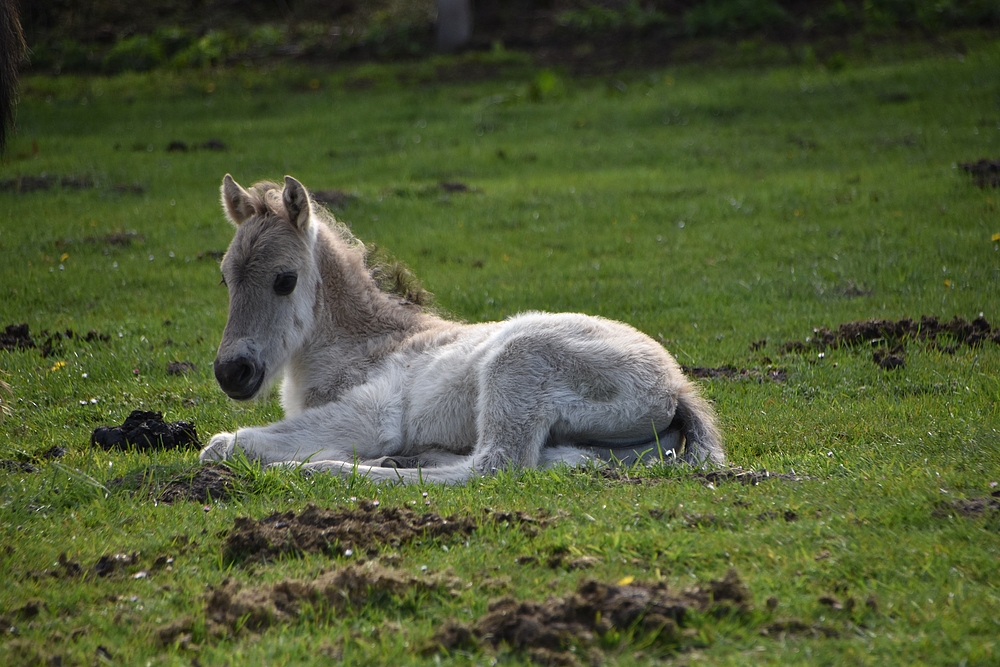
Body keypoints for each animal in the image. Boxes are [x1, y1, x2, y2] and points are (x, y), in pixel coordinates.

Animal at [199, 175, 724, 482]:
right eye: (225, 277)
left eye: (284, 280)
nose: (232, 372)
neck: (367, 344)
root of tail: (676, 385)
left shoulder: (373, 412)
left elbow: (224, 446)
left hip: (517, 367)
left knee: (492, 468)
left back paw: (328, 469)